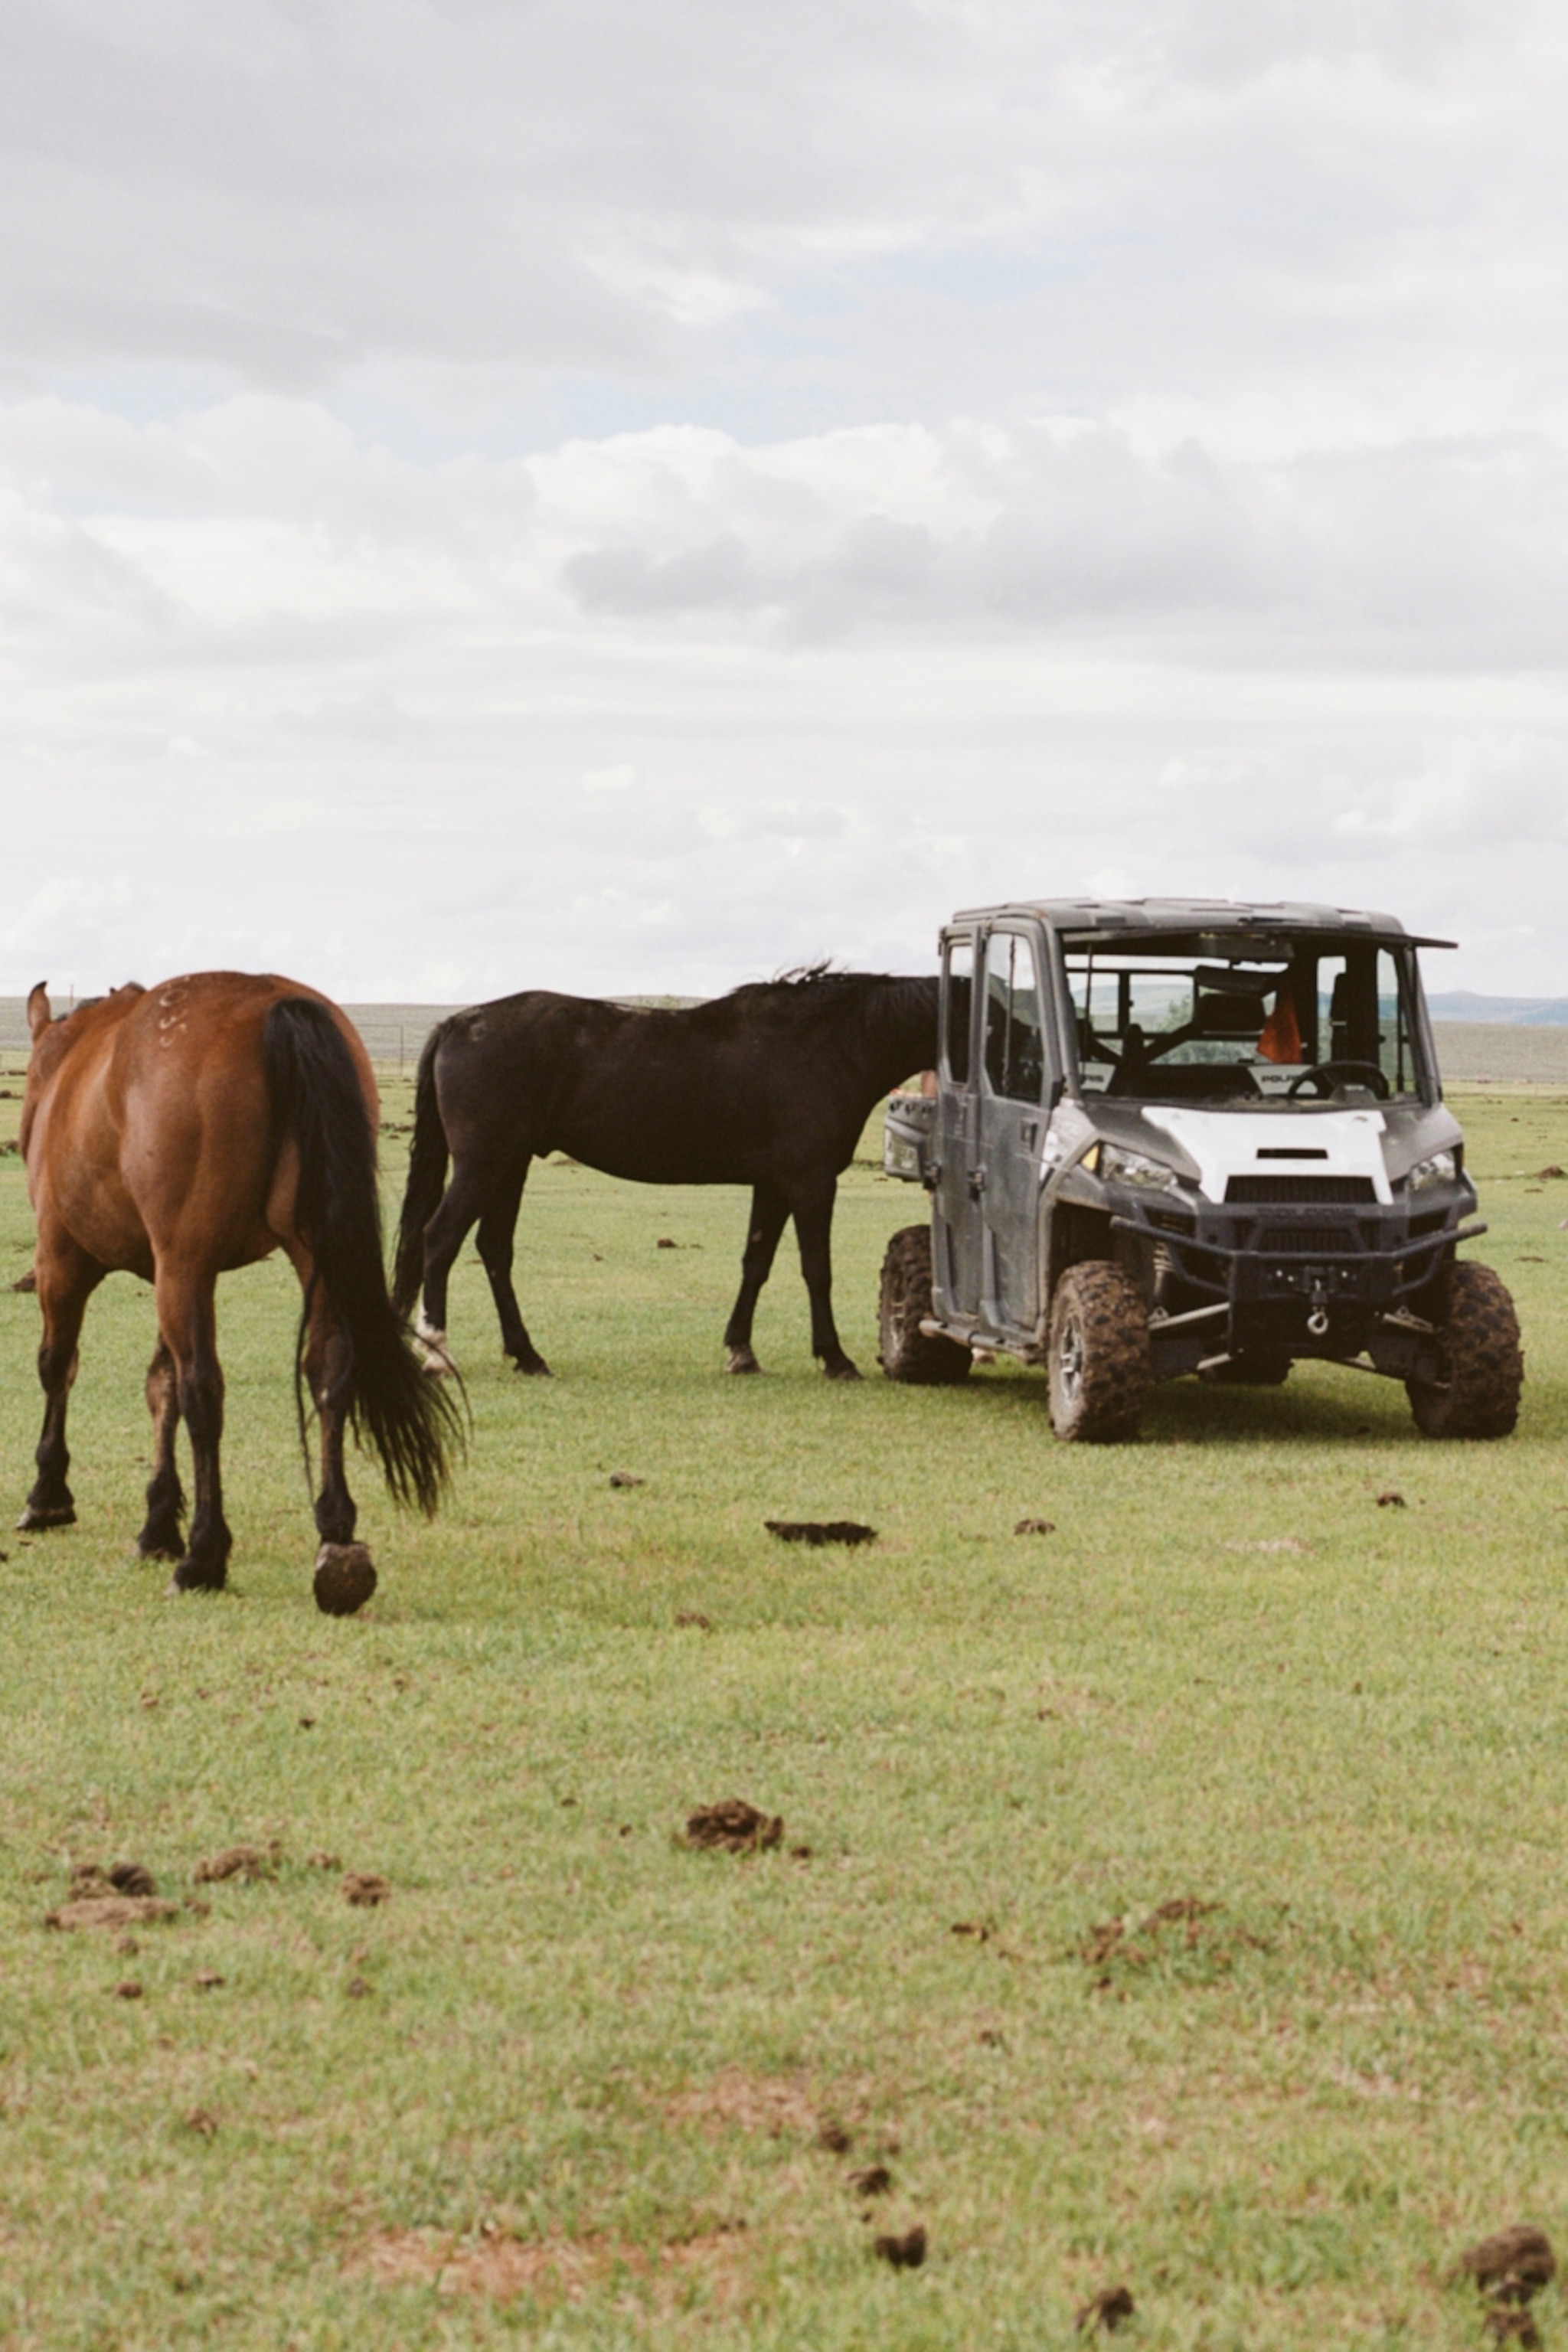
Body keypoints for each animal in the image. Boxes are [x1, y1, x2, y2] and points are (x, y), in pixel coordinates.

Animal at [17, 974, 458, 1615]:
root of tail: (271, 1002)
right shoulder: (164, 1268)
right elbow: (160, 1386)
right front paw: (157, 1525)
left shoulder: (65, 1258)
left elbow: (60, 1367)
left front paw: (49, 1494)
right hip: (306, 1253)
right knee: (329, 1371)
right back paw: (337, 1543)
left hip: (184, 1267)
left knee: (205, 1390)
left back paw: (205, 1555)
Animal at [392, 969, 940, 1382]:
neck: (824, 1045)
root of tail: (460, 1022)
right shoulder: (811, 1183)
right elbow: (816, 1270)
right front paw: (835, 1358)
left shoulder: (773, 1185)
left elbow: (756, 1263)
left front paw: (741, 1352)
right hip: (483, 1164)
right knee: (439, 1239)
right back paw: (438, 1352)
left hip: (510, 1164)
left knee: (493, 1250)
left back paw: (528, 1356)